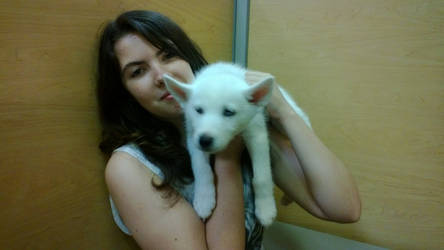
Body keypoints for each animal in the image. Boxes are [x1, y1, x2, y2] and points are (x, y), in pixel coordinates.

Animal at [163, 61, 294, 226]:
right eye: (198, 110)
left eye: (228, 112)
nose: (205, 140)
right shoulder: (193, 136)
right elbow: (201, 169)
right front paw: (204, 199)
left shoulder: (256, 134)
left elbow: (262, 177)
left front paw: (265, 208)